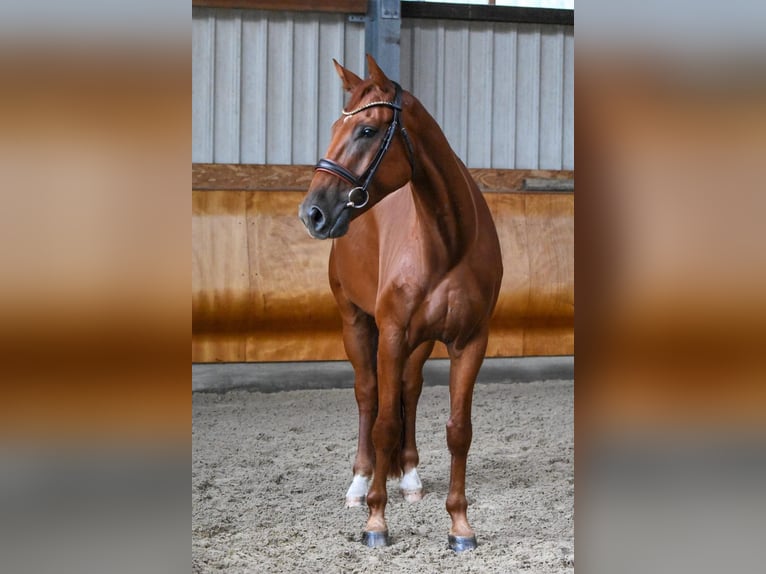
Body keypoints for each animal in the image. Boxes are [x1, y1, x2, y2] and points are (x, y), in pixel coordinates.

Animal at [298, 54, 503, 552]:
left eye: (367, 130)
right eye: (334, 126)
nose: (312, 213)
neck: (448, 242)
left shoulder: (470, 342)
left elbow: (458, 430)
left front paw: (460, 526)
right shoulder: (389, 334)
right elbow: (384, 423)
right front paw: (376, 521)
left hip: (419, 343)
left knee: (408, 389)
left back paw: (408, 476)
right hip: (356, 323)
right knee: (369, 396)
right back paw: (360, 484)